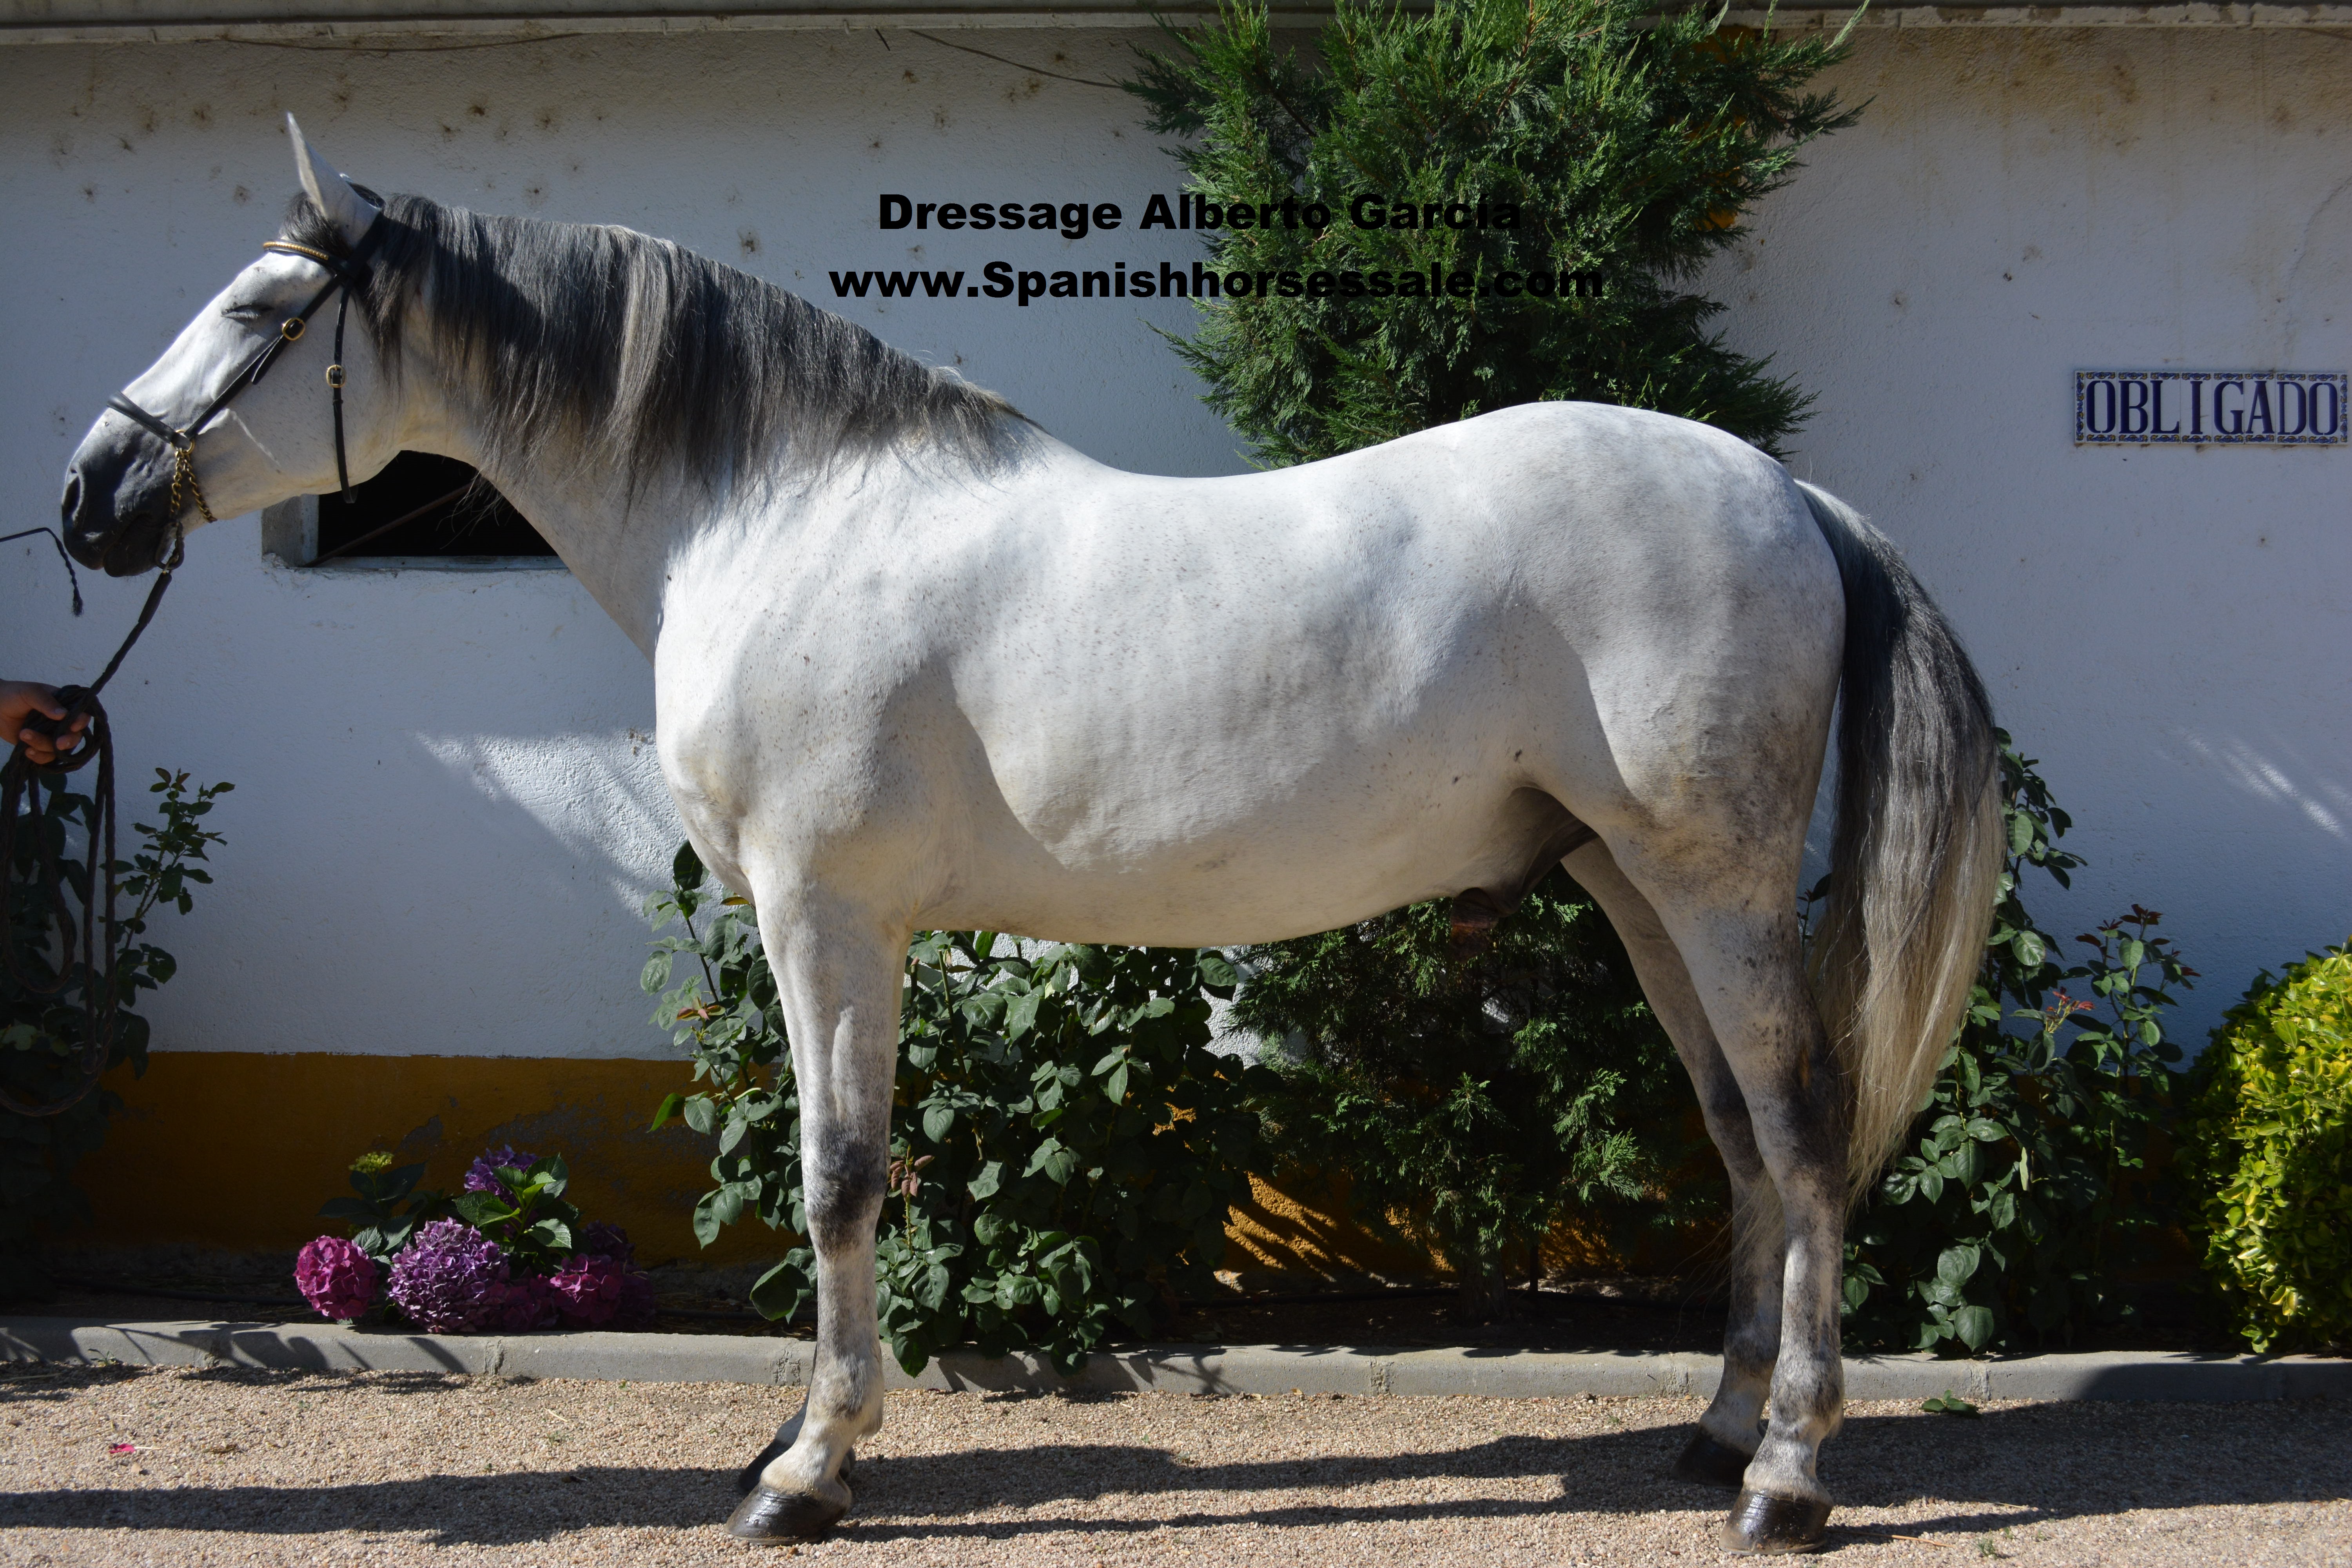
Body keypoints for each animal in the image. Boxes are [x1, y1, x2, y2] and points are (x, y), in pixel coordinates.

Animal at [58, 118, 1999, 1554]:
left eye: (257, 311)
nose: (93, 495)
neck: (779, 515)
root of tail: (1783, 490)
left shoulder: (827, 913)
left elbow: (838, 1176)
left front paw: (806, 1474)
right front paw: (800, 1440)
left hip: (1712, 885)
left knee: (1802, 1132)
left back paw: (1787, 1479)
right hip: (1633, 887)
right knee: (1739, 1138)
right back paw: (1716, 1430)